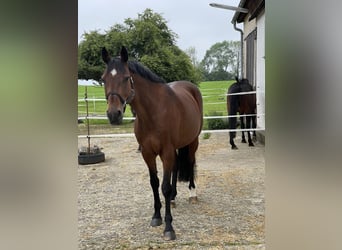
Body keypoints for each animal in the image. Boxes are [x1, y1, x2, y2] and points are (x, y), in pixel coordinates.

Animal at [100, 45, 202, 240]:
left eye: (126, 78)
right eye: (103, 79)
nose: (113, 114)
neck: (153, 111)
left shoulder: (166, 152)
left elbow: (165, 187)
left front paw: (169, 227)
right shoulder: (148, 153)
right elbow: (154, 183)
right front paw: (156, 216)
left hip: (193, 141)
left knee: (190, 161)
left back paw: (193, 193)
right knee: (176, 167)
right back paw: (174, 199)